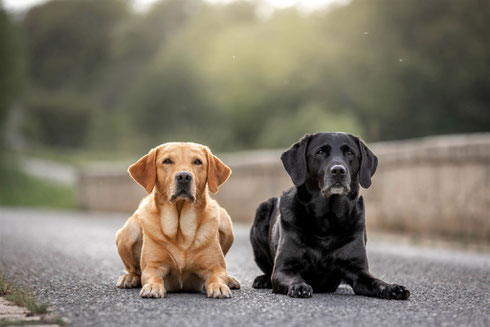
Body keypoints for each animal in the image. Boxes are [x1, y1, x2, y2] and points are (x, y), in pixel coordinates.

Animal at [249, 133, 410, 300]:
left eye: (350, 153)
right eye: (320, 152)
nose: (338, 171)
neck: (327, 221)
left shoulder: (358, 270)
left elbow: (375, 281)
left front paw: (391, 287)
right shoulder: (283, 268)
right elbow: (293, 277)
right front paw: (299, 286)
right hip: (261, 213)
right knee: (268, 270)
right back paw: (263, 280)